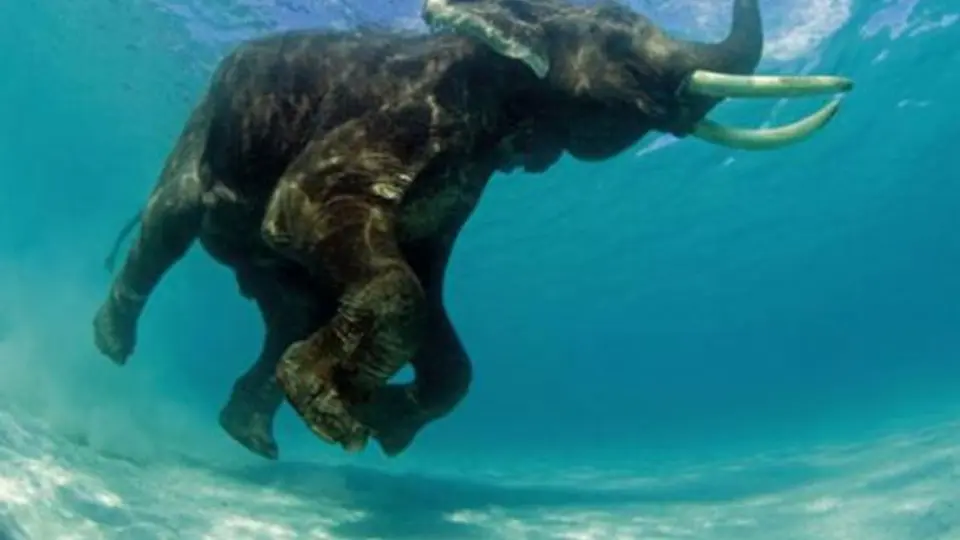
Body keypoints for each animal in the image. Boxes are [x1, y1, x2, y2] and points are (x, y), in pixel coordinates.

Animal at [93, 0, 853, 460]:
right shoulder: (396, 119)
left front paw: (379, 418)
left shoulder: (462, 187)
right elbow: (308, 213)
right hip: (199, 133)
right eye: (617, 34)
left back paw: (251, 433)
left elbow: (435, 307)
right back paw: (113, 346)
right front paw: (343, 417)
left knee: (287, 310)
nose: (845, 90)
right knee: (167, 227)